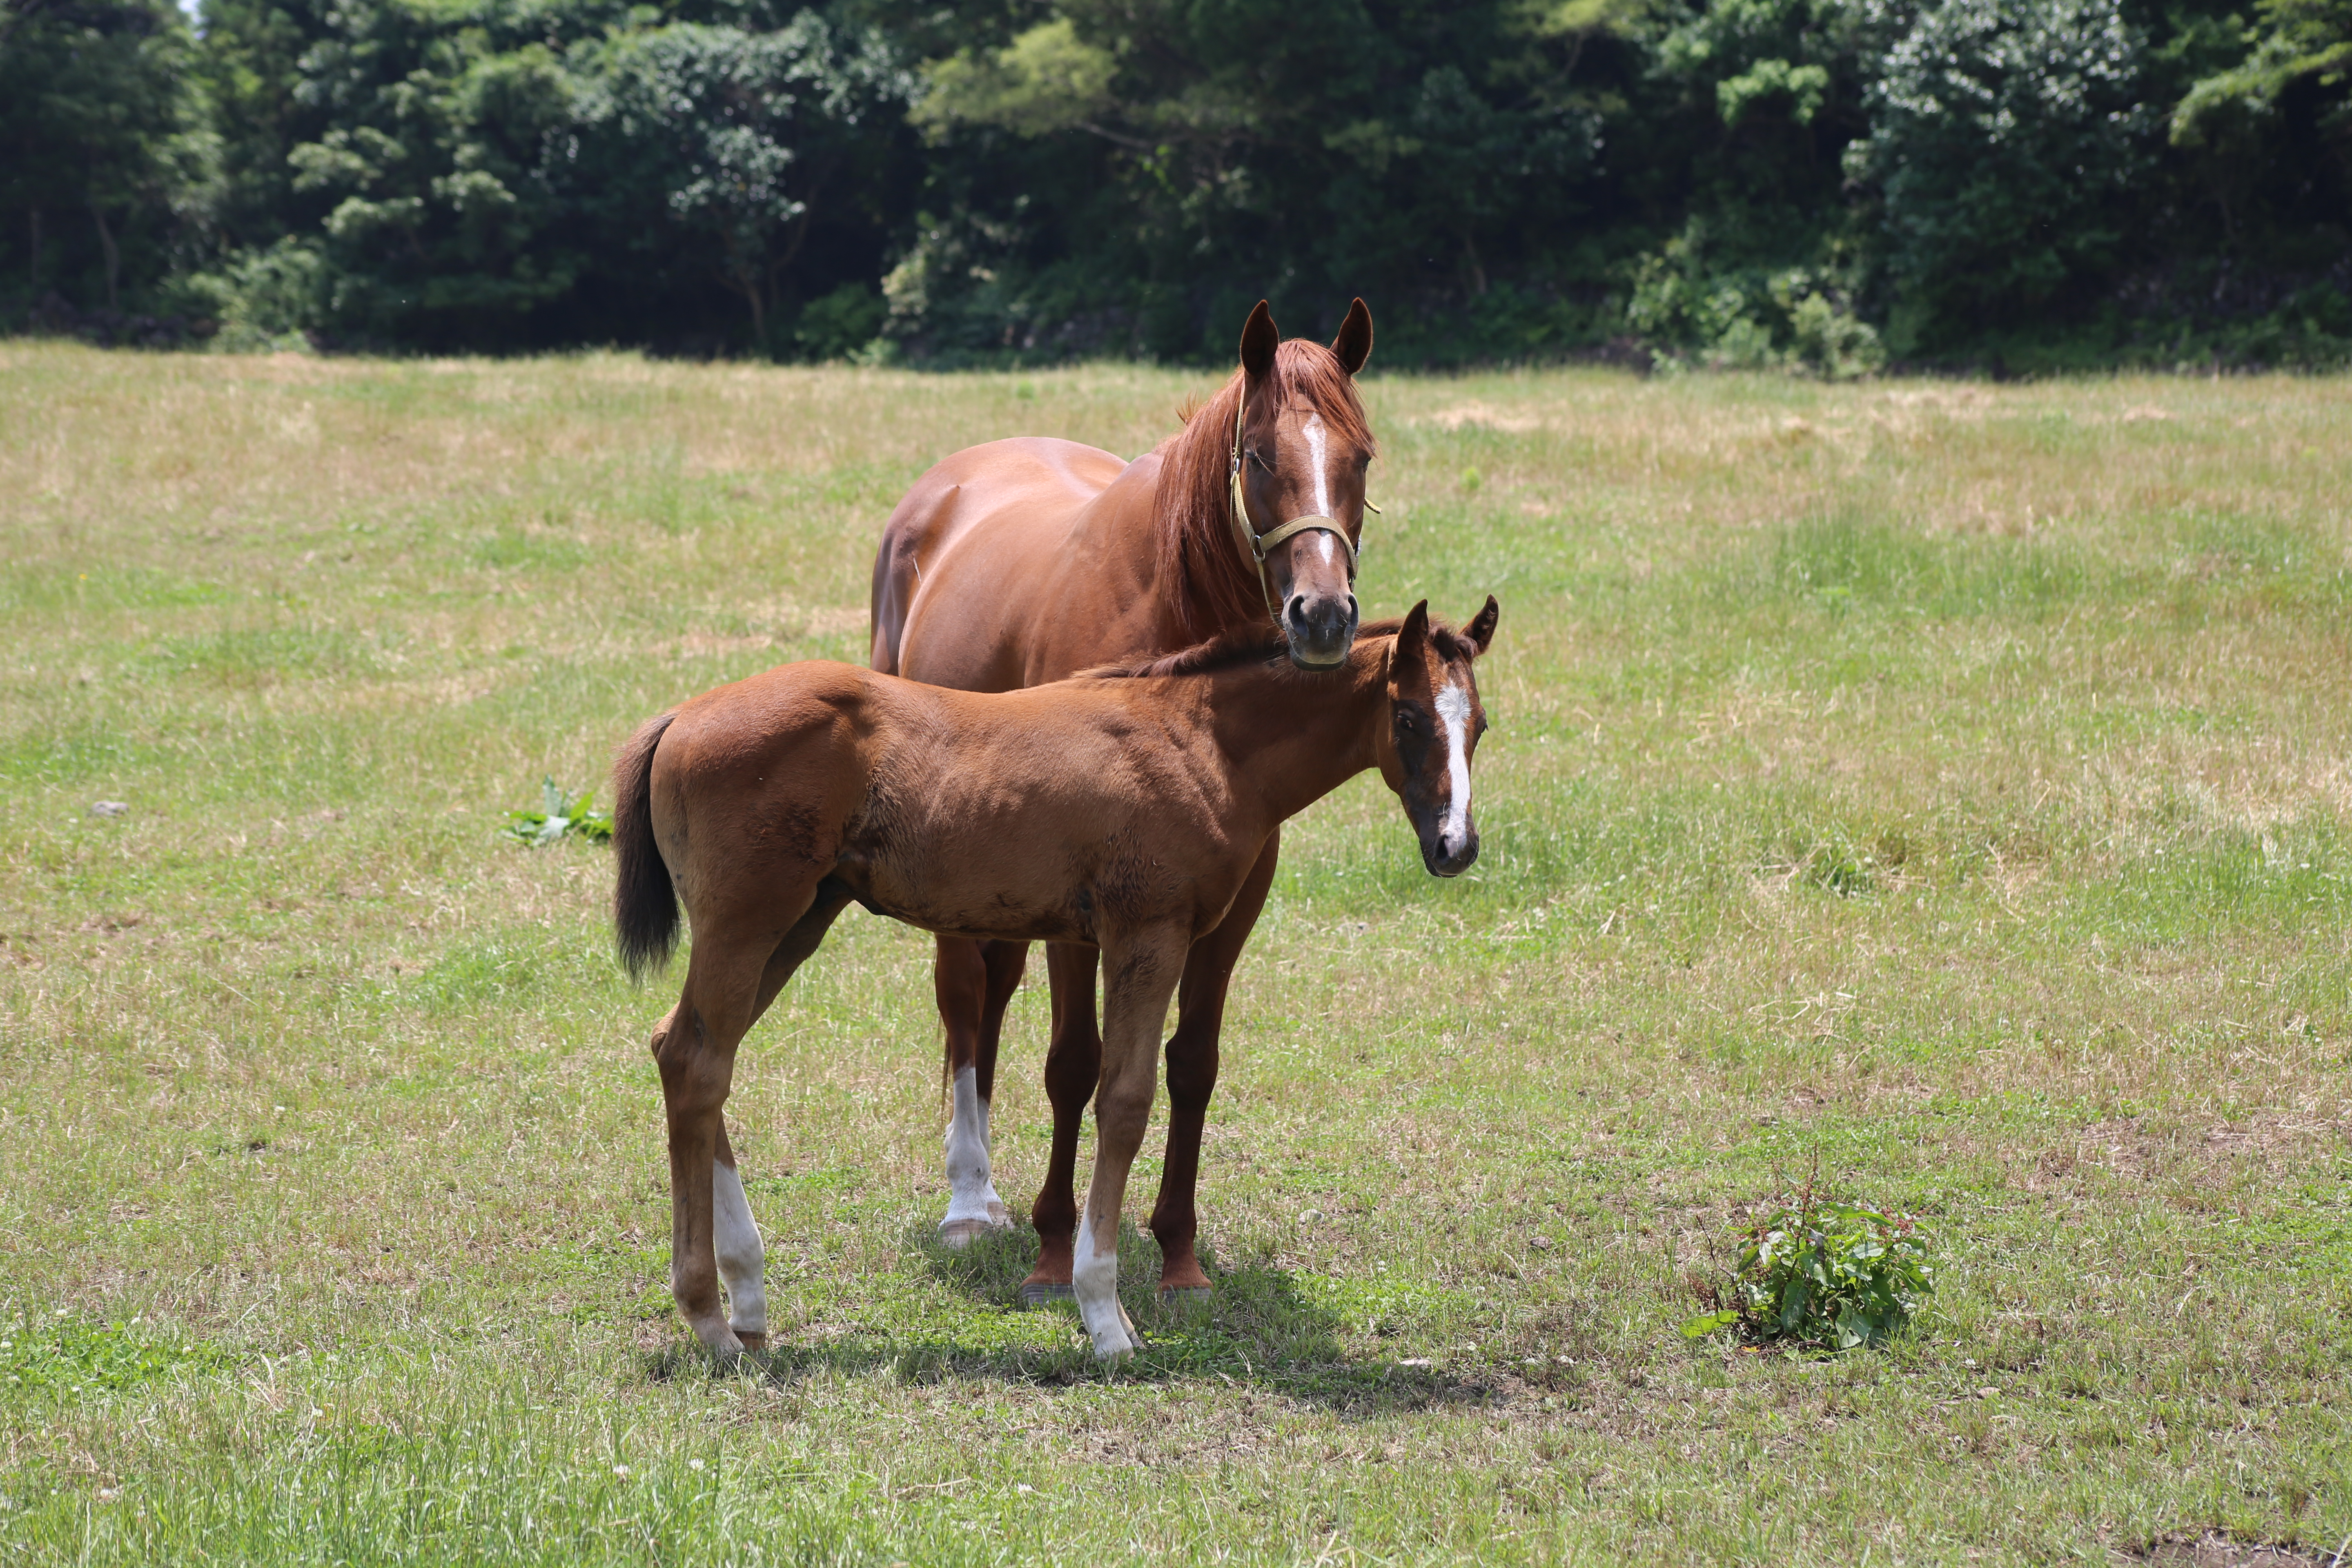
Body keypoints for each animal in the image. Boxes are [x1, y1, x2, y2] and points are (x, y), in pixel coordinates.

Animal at [607, 601, 1486, 1363]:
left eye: (1478, 725)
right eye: (1409, 719)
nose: (1456, 847)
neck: (1199, 741)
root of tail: (678, 718)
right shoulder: (1147, 936)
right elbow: (1124, 1102)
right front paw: (1105, 1317)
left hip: (799, 921)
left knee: (686, 1051)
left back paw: (747, 1302)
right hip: (751, 921)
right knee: (699, 1063)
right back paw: (711, 1318)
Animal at [865, 294, 1373, 1297]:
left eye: (1363, 456)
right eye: (1261, 458)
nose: (1326, 618)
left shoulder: (1233, 897)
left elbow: (1193, 1061)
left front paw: (1177, 1253)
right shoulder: (1088, 901)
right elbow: (1076, 1063)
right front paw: (1056, 1252)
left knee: (992, 993)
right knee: (963, 1001)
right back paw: (970, 1200)